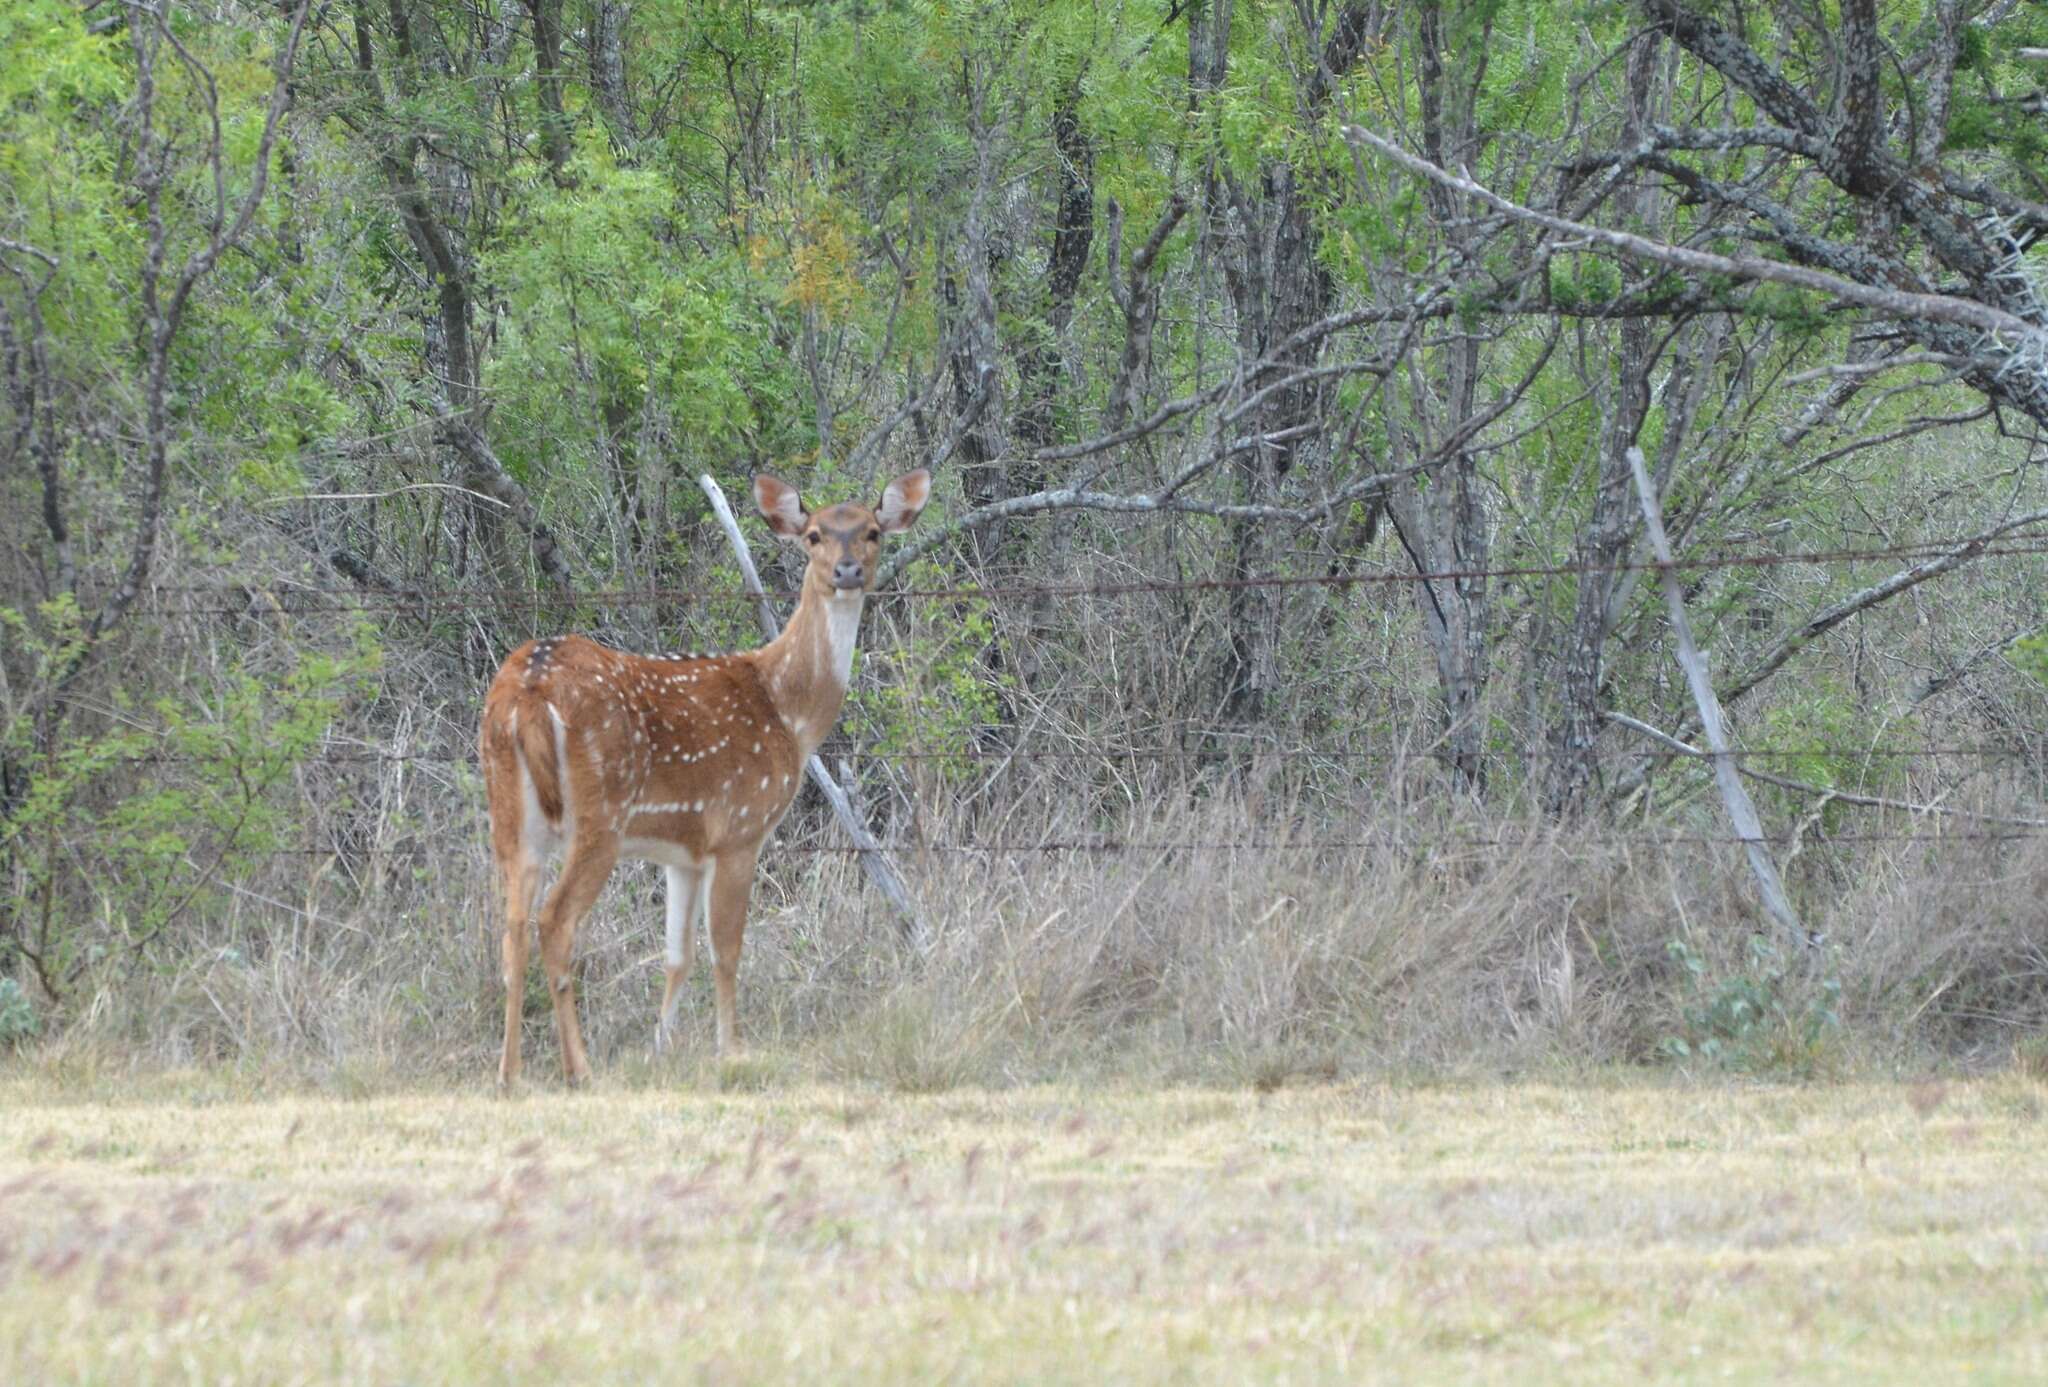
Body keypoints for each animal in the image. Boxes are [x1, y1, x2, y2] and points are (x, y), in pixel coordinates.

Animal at [475, 471, 933, 1089]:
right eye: (813, 535)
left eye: (872, 532)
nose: (846, 571)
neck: (789, 712)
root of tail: (526, 690)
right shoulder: (739, 827)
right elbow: (727, 948)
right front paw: (731, 1049)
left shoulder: (682, 852)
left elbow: (678, 954)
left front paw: (660, 1048)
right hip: (601, 814)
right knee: (554, 920)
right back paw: (579, 1068)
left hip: (510, 813)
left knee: (513, 929)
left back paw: (509, 1073)